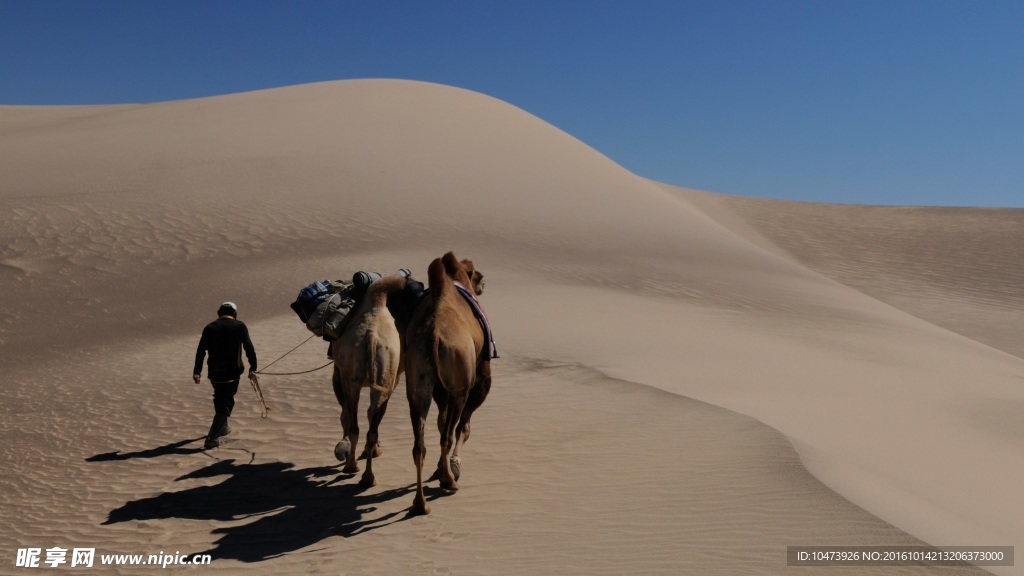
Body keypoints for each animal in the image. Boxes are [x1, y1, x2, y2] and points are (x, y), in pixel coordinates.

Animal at [331, 270, 419, 485]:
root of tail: (371, 337)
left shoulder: (339, 371)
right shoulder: (392, 380)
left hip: (356, 379)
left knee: (356, 424)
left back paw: (355, 468)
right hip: (380, 376)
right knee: (367, 427)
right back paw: (365, 475)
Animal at [403, 250, 491, 510]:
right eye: (476, 274)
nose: (483, 283)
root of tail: (433, 334)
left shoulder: (439, 390)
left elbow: (441, 421)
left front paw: (441, 468)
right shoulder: (480, 378)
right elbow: (464, 428)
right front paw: (452, 466)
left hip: (418, 382)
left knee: (419, 444)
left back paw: (420, 503)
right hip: (460, 384)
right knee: (448, 435)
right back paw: (449, 481)